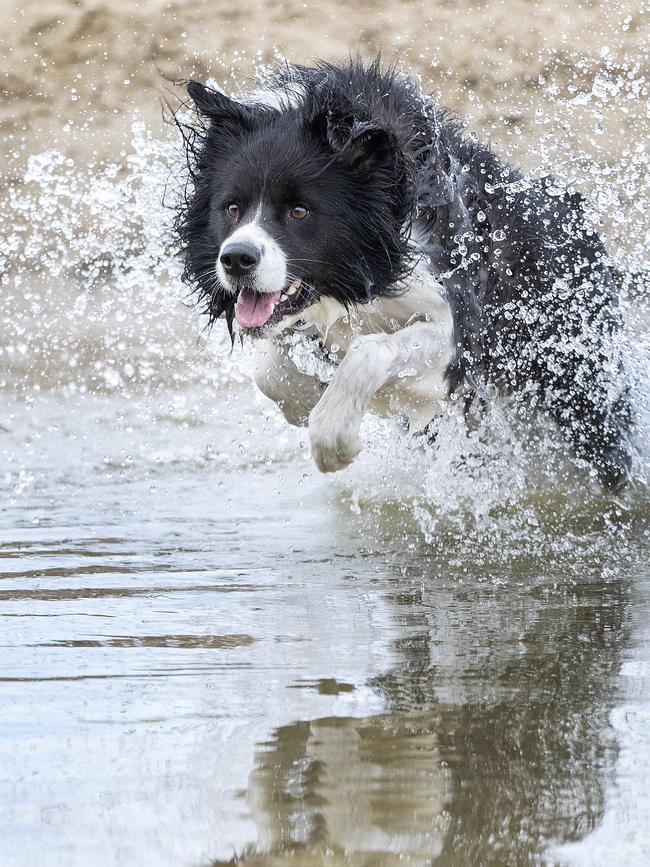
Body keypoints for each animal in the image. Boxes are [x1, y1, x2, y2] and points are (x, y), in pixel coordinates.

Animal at [172, 56, 628, 488]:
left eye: (300, 211)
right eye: (232, 208)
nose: (236, 259)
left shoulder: (456, 321)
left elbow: (371, 349)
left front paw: (334, 439)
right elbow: (270, 366)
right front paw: (304, 402)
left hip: (572, 369)